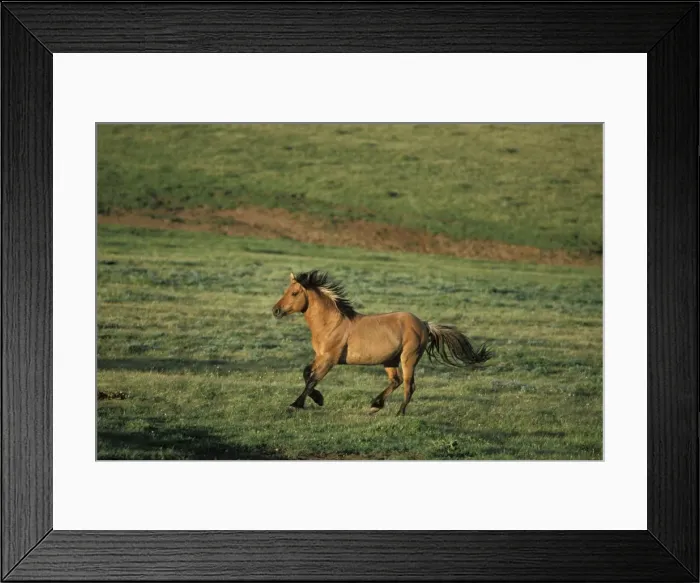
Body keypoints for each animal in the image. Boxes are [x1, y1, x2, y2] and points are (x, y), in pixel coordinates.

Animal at [272, 270, 492, 415]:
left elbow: (312, 379)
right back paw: (375, 404)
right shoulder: (320, 356)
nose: (275, 310)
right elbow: (306, 373)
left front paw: (296, 404)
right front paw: (318, 399)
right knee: (396, 381)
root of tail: (424, 324)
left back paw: (399, 413)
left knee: (409, 385)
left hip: (408, 358)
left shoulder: (330, 359)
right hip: (389, 360)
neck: (331, 323)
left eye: (294, 293)